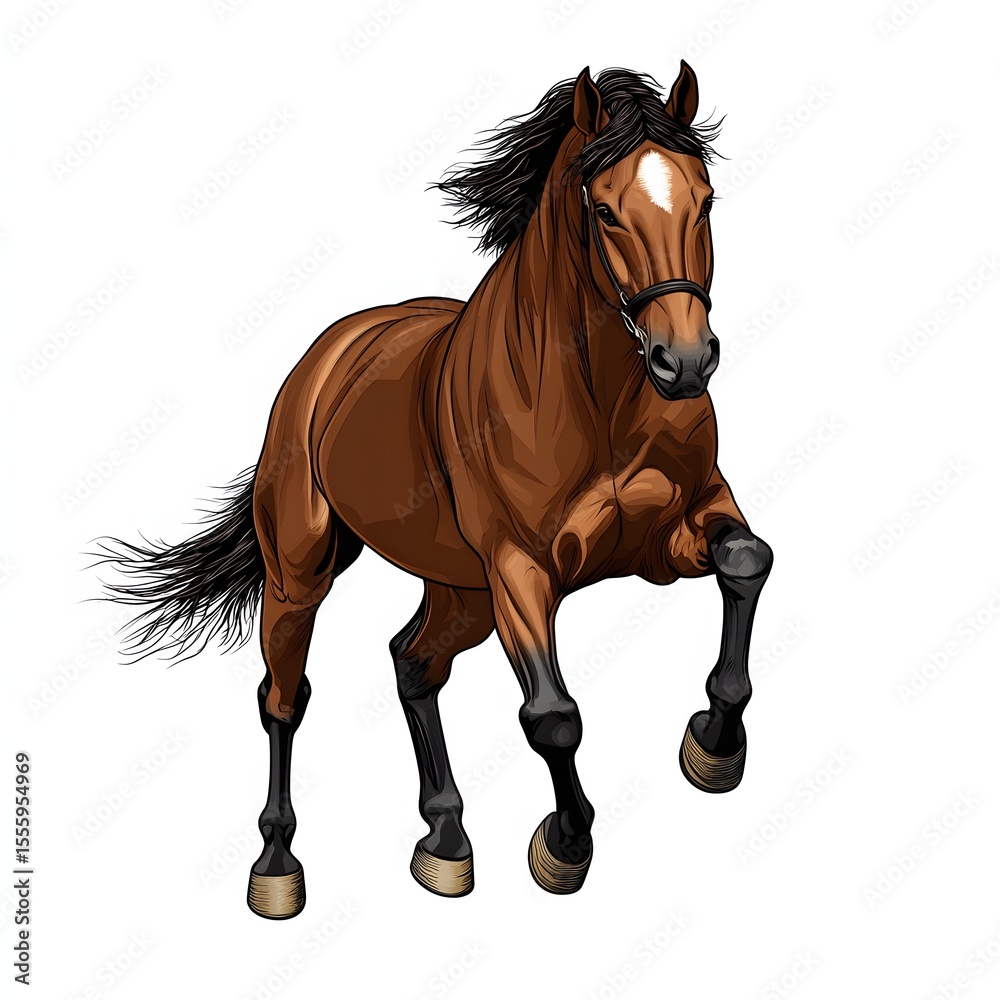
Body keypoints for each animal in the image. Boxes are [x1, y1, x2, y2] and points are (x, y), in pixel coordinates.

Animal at [96, 62, 772, 919]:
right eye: (605, 210)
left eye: (705, 198)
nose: (683, 363)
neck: (599, 404)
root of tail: (327, 359)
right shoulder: (521, 571)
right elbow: (553, 716)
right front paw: (564, 846)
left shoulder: (682, 525)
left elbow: (747, 561)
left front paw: (714, 744)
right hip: (304, 576)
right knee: (283, 695)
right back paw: (278, 868)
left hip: (460, 594)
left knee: (412, 663)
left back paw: (445, 842)